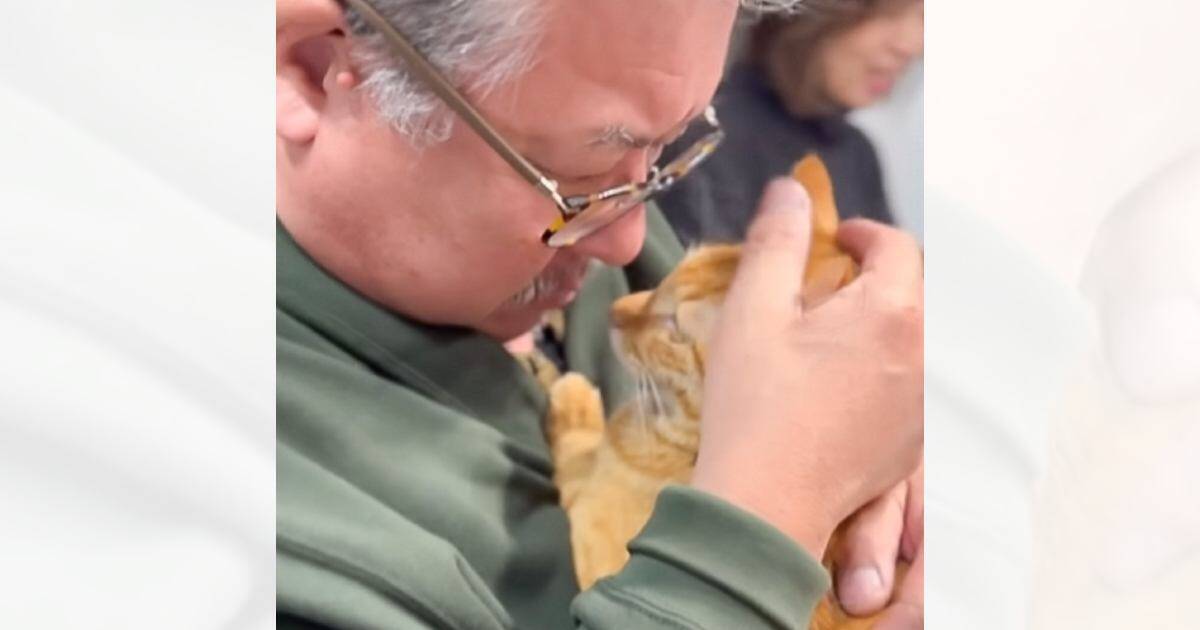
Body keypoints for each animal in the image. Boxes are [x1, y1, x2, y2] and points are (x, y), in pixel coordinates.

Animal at [545, 155, 898, 629]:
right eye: (665, 279)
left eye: (675, 327)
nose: (614, 312)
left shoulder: (598, 537)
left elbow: (577, 456)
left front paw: (574, 401)